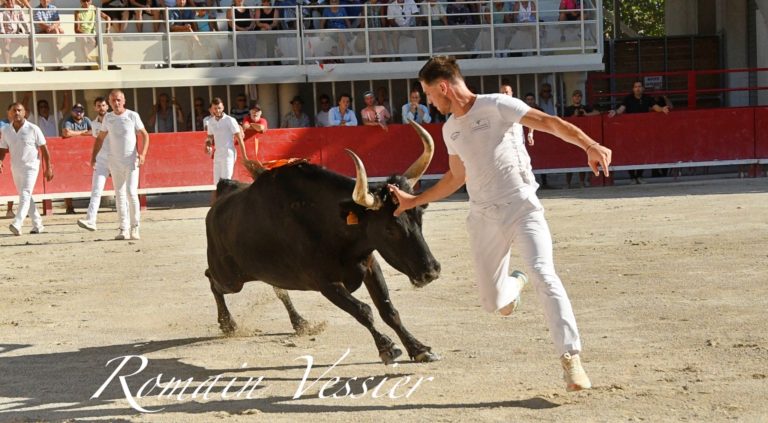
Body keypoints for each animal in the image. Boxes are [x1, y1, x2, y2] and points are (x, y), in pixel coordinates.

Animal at [207, 120, 440, 364]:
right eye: (389, 228)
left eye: (419, 217)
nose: (431, 272)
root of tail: (223, 193)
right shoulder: (325, 283)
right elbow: (363, 310)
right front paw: (387, 347)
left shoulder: (370, 265)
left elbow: (388, 310)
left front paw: (418, 348)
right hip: (230, 277)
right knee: (212, 280)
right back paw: (228, 323)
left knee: (278, 289)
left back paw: (300, 323)